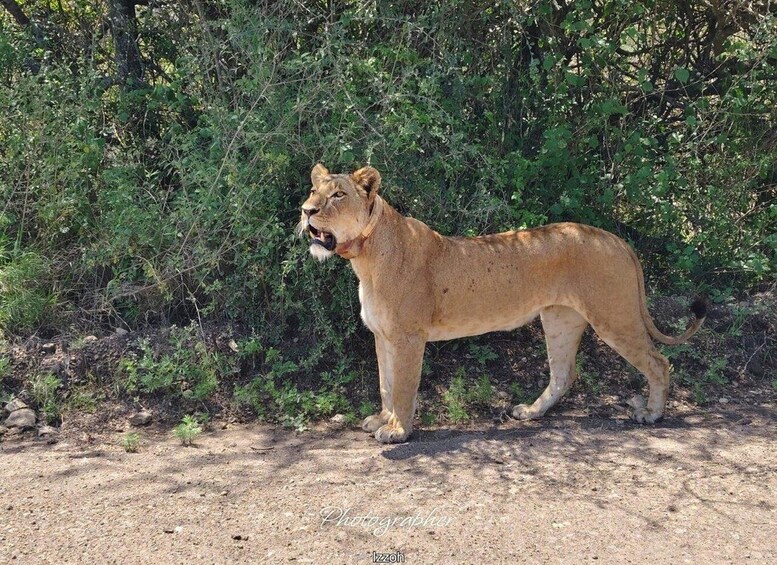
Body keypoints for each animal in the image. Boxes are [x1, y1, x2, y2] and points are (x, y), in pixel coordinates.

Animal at [299, 163, 707, 444]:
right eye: (314, 190)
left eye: (338, 195)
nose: (306, 210)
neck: (365, 259)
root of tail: (617, 240)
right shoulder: (382, 335)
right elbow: (385, 383)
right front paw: (381, 420)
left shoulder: (408, 337)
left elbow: (401, 387)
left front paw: (398, 431)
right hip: (560, 320)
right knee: (564, 373)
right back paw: (530, 412)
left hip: (614, 317)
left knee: (659, 362)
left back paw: (652, 414)